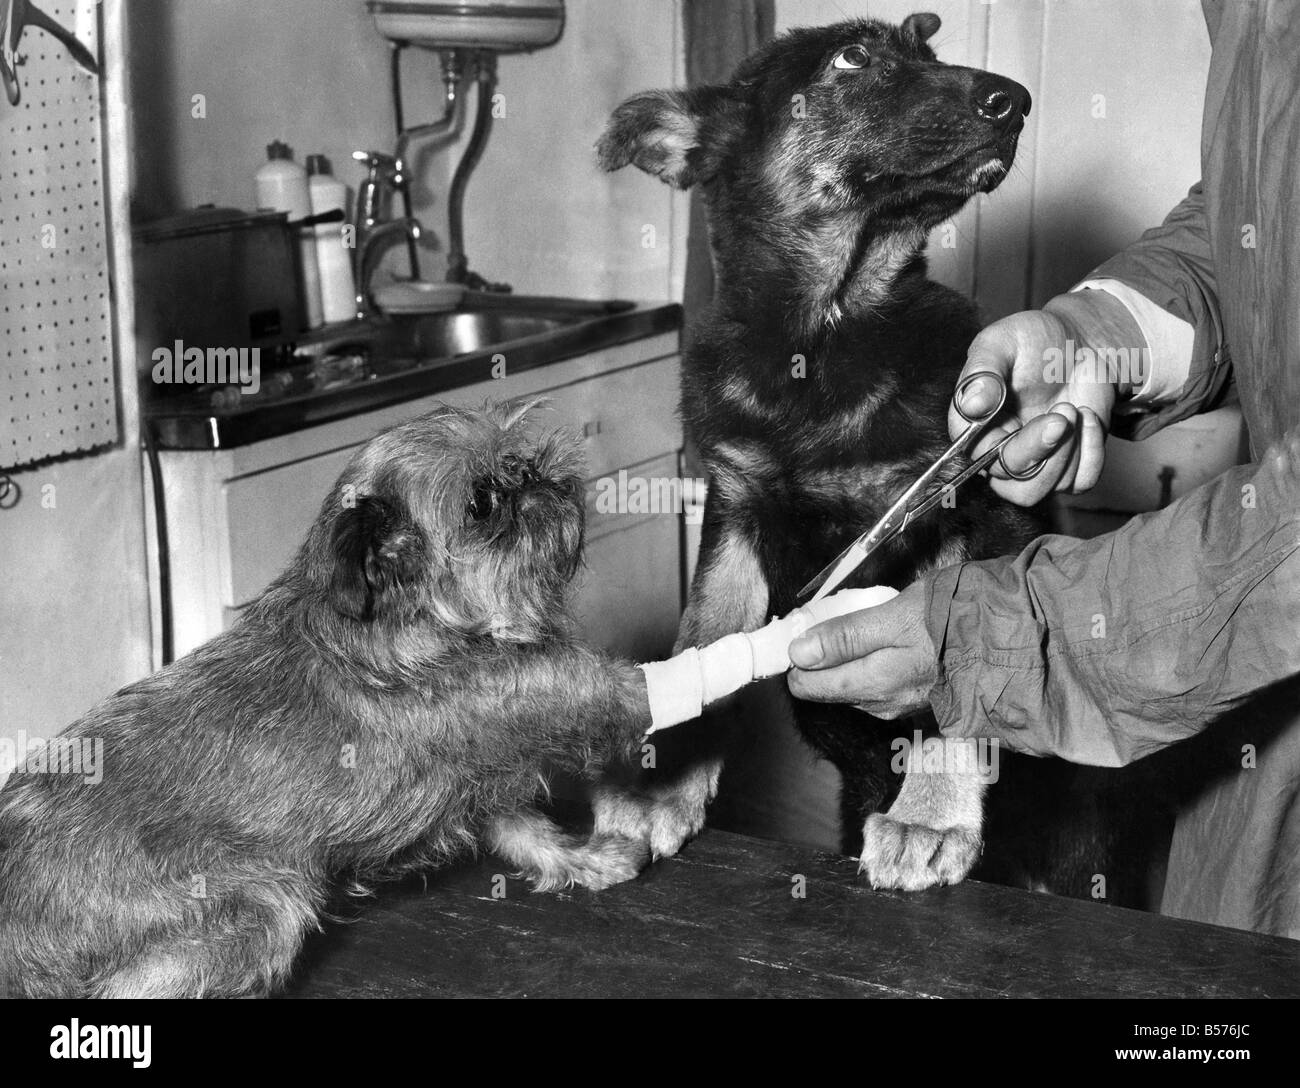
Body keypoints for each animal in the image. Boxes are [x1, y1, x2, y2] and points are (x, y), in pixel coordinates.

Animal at [0, 402, 650, 998]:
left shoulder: (474, 776)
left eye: (517, 462)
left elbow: (525, 830)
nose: (534, 473)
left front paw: (583, 860)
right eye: (483, 502)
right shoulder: (529, 700)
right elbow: (615, 689)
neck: (403, 621)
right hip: (262, 902)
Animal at [595, 12, 1164, 904]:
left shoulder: (977, 516)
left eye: (926, 53)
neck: (825, 332)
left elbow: (959, 683)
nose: (1016, 102)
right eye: (853, 58)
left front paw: (931, 815)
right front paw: (660, 786)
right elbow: (702, 646)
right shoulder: (735, 514)